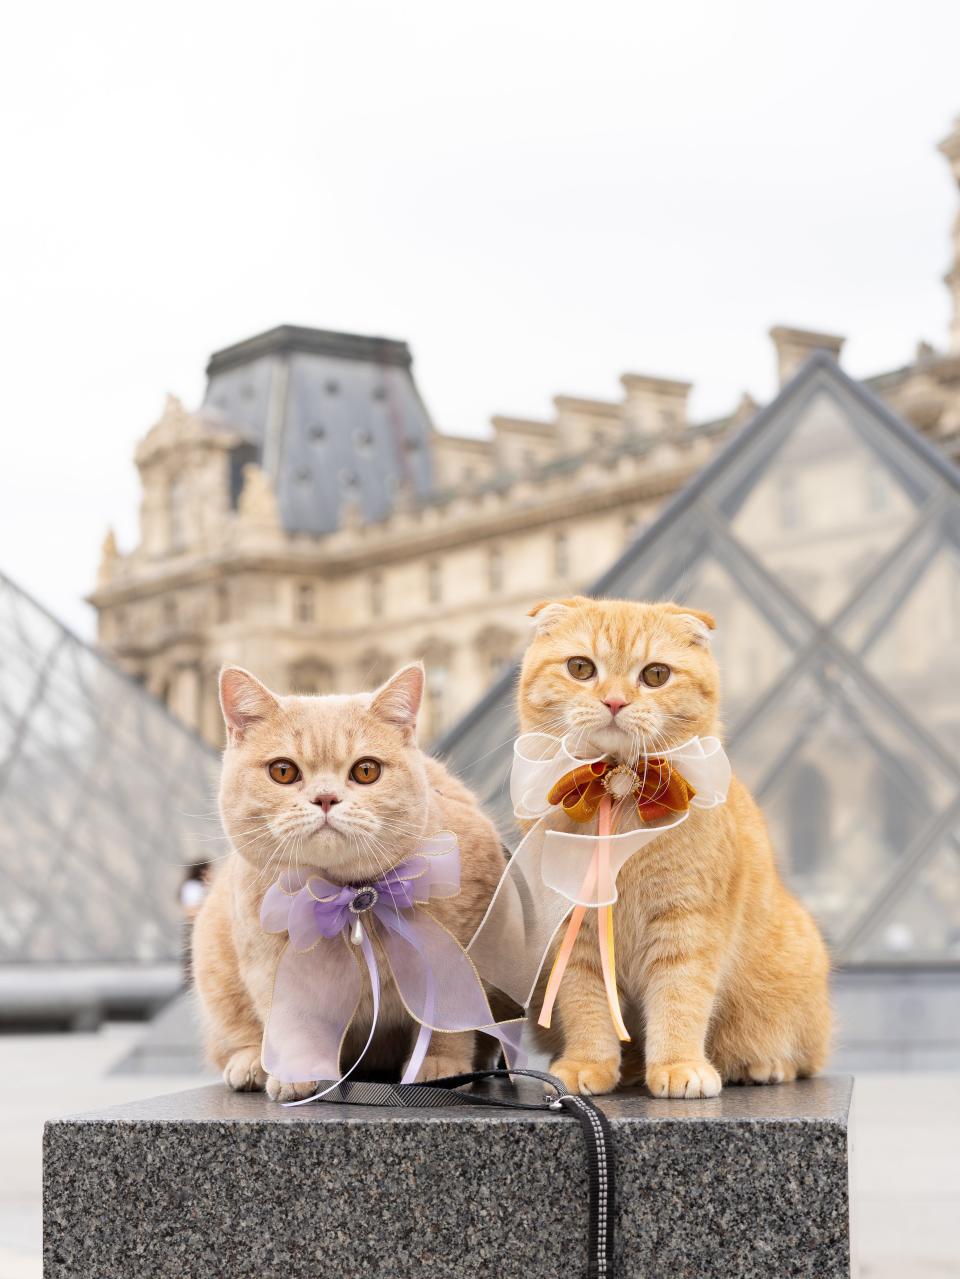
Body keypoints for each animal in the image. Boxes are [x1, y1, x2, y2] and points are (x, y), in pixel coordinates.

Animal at [195, 659, 511, 1099]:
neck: (352, 901)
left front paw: (439, 1065)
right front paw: (296, 1073)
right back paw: (250, 1064)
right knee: (236, 1035)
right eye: (283, 771)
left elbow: (447, 1022)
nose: (326, 798)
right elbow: (291, 1023)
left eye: (366, 771)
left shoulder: (458, 958)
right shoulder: (269, 970)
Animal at [518, 596, 833, 1099]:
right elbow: (587, 1004)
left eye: (655, 675)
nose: (614, 701)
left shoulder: (686, 924)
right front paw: (588, 1064)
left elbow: (679, 1000)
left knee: (801, 1057)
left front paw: (678, 1066)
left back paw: (762, 1064)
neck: (617, 794)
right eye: (581, 668)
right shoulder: (576, 932)